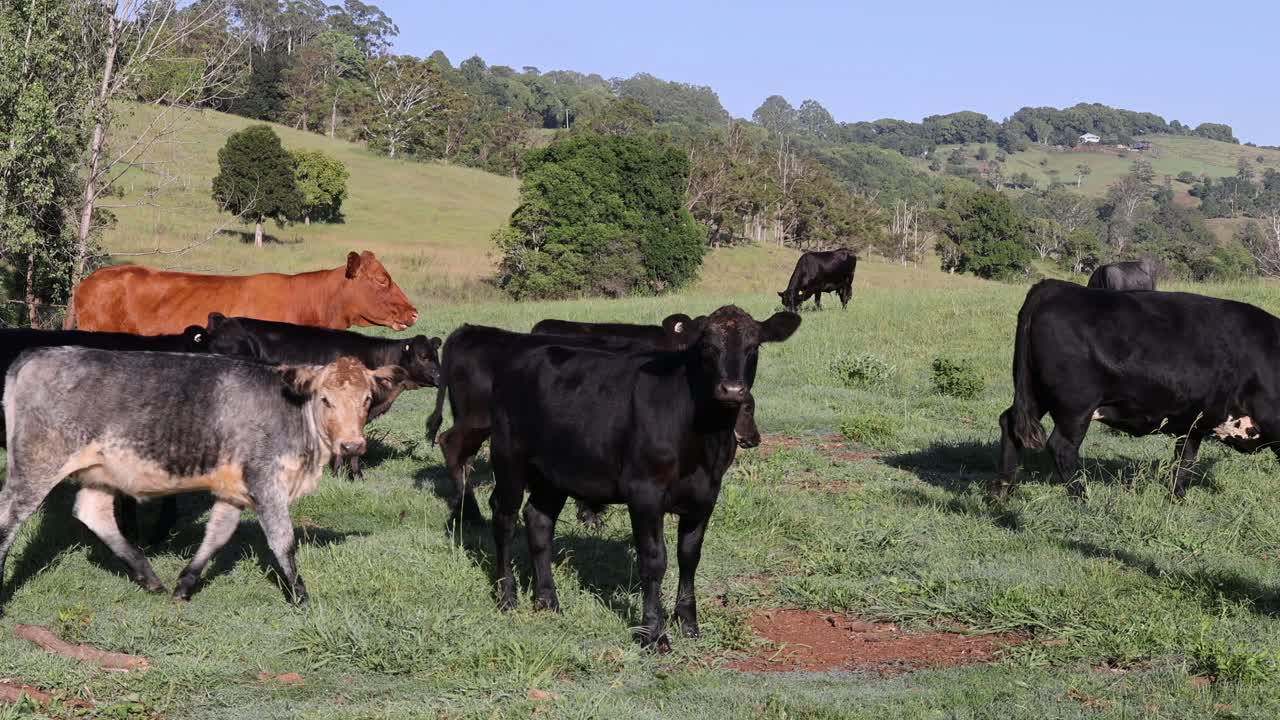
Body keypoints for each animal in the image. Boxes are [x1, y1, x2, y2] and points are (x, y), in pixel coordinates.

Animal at [0, 350, 404, 613]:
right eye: (325, 399)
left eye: (367, 399)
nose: (352, 445)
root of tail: (35, 356)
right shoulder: (266, 481)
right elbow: (283, 542)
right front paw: (301, 598)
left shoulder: (235, 489)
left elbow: (217, 534)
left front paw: (185, 585)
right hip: (36, 465)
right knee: (8, 520)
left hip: (99, 470)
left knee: (92, 513)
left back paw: (149, 576)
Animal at [424, 316, 761, 528]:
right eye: (746, 407)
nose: (753, 438)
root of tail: (468, 331)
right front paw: (591, 514)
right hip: (477, 419)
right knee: (450, 444)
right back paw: (470, 513)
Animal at [487, 306, 800, 650]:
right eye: (707, 346)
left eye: (753, 346)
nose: (732, 390)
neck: (703, 439)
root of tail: (524, 350)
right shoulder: (644, 492)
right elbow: (654, 559)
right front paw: (653, 633)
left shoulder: (706, 494)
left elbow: (689, 556)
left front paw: (688, 624)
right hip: (508, 457)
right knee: (504, 517)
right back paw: (506, 597)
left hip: (553, 471)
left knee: (539, 519)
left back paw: (548, 601)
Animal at [995, 279, 1277, 503]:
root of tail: (1054, 287)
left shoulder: (1194, 421)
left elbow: (1184, 461)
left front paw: (1177, 500)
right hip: (1075, 407)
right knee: (1061, 447)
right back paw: (1082, 500)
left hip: (1034, 393)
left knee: (1010, 424)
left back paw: (1003, 494)